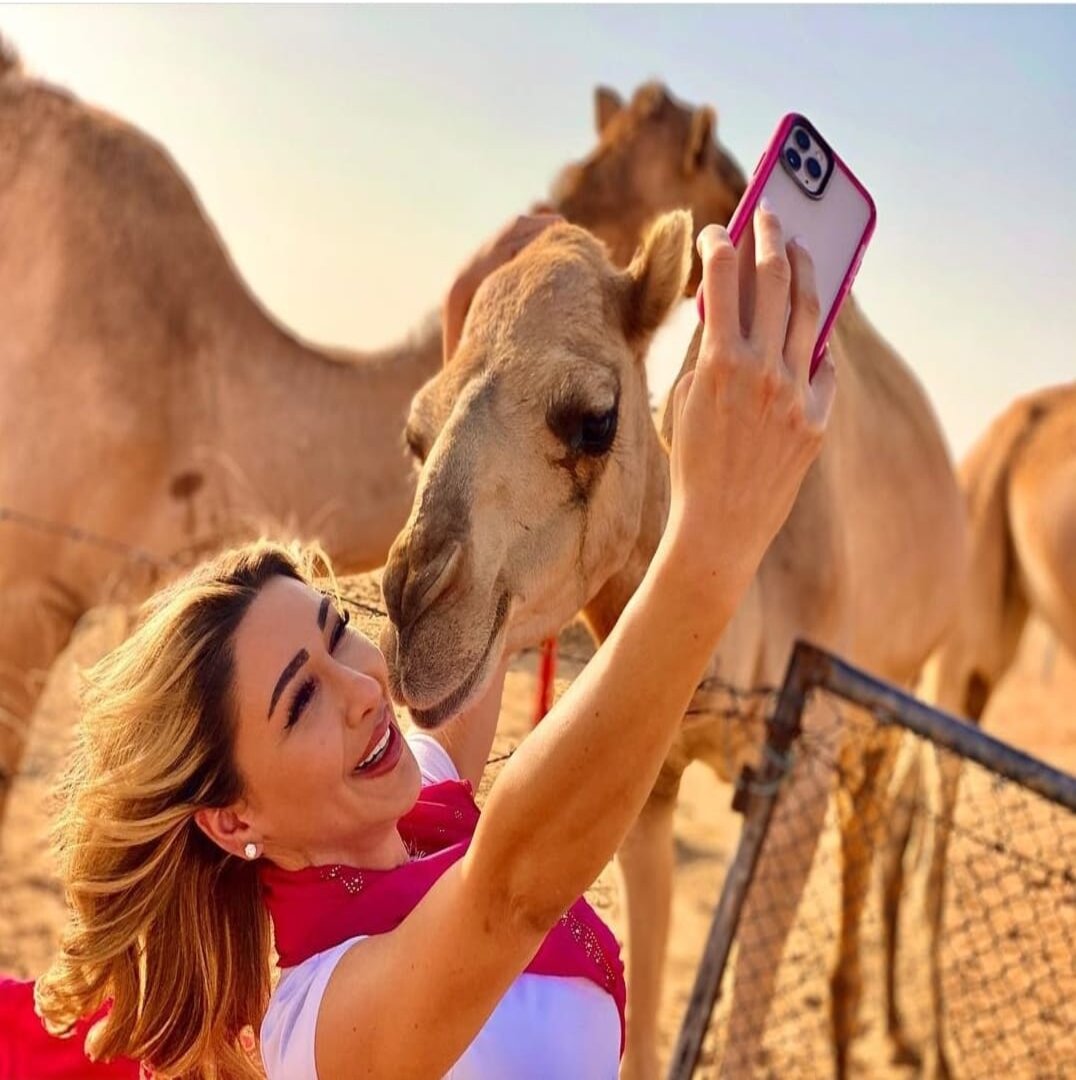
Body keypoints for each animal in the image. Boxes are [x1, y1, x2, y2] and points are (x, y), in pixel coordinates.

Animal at [380, 86, 967, 1080]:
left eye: (594, 419)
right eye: (416, 435)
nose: (417, 613)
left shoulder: (800, 760)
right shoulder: (651, 787)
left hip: (888, 703)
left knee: (870, 832)